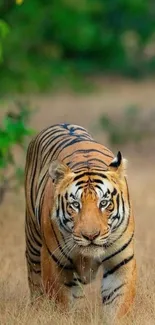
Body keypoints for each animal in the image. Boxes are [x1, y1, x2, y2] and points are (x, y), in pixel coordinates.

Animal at [24, 123, 137, 322]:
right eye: (75, 205)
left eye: (104, 203)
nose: (90, 236)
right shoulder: (56, 263)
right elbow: (64, 305)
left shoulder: (121, 262)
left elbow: (117, 306)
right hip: (33, 244)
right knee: (35, 278)